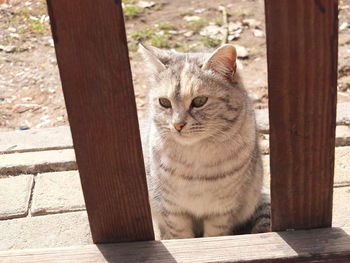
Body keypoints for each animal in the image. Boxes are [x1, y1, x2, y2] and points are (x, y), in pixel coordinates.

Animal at [139, 43, 270, 239]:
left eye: (200, 101)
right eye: (164, 102)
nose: (177, 125)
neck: (195, 159)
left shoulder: (221, 211)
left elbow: (214, 237)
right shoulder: (173, 211)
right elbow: (182, 237)